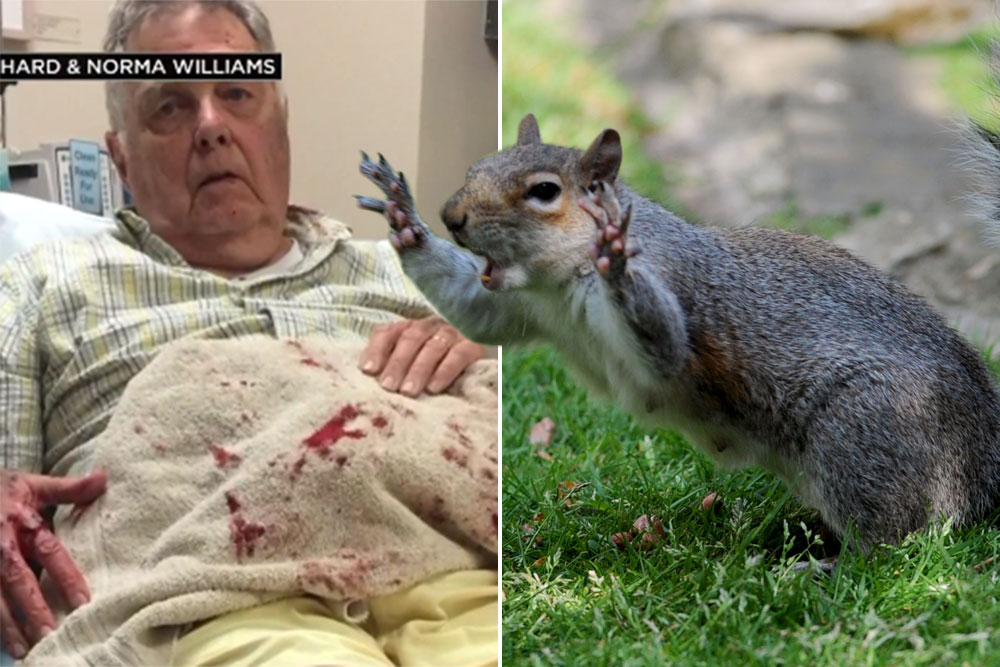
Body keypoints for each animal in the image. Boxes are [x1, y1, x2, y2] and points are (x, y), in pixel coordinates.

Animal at [356, 113, 1000, 550]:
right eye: (474, 170)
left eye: (544, 191)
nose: (451, 217)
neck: (557, 285)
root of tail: (983, 462)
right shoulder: (519, 307)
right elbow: (474, 315)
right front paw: (402, 215)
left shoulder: (675, 296)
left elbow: (665, 345)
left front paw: (617, 260)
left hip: (866, 431)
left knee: (892, 536)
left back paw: (825, 565)